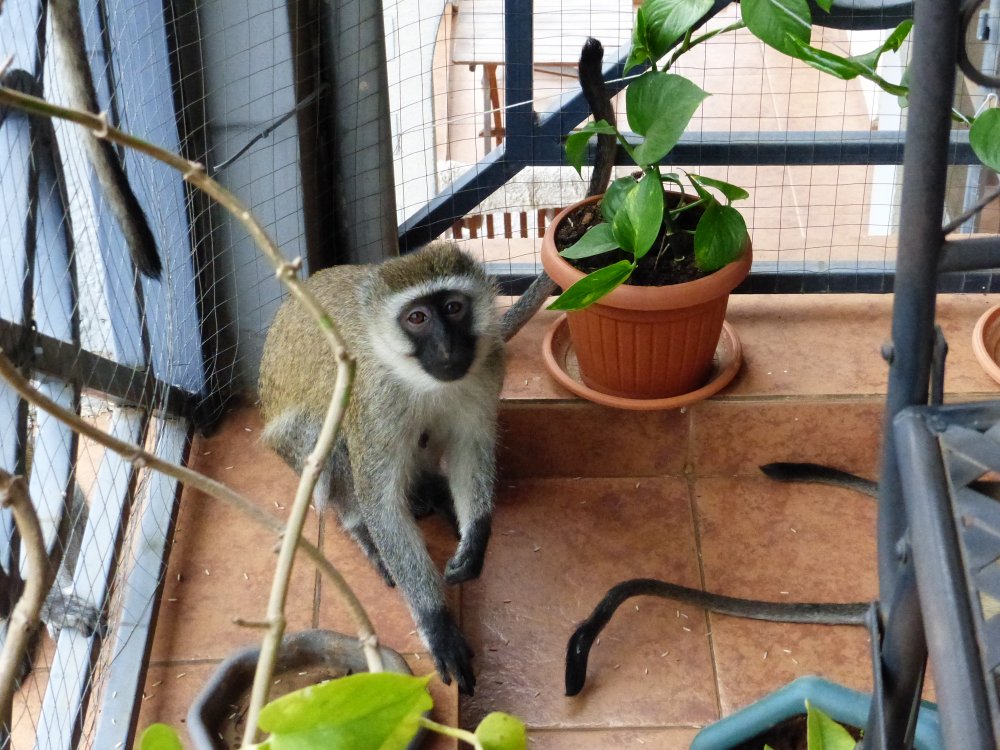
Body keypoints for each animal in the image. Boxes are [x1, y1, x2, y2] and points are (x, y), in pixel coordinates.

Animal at [258, 241, 505, 696]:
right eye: (417, 318)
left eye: (454, 307)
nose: (447, 349)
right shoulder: (373, 397)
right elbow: (382, 503)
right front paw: (437, 624)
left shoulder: (490, 362)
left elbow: (471, 450)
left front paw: (476, 537)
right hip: (293, 446)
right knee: (325, 434)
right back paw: (362, 528)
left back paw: (431, 492)